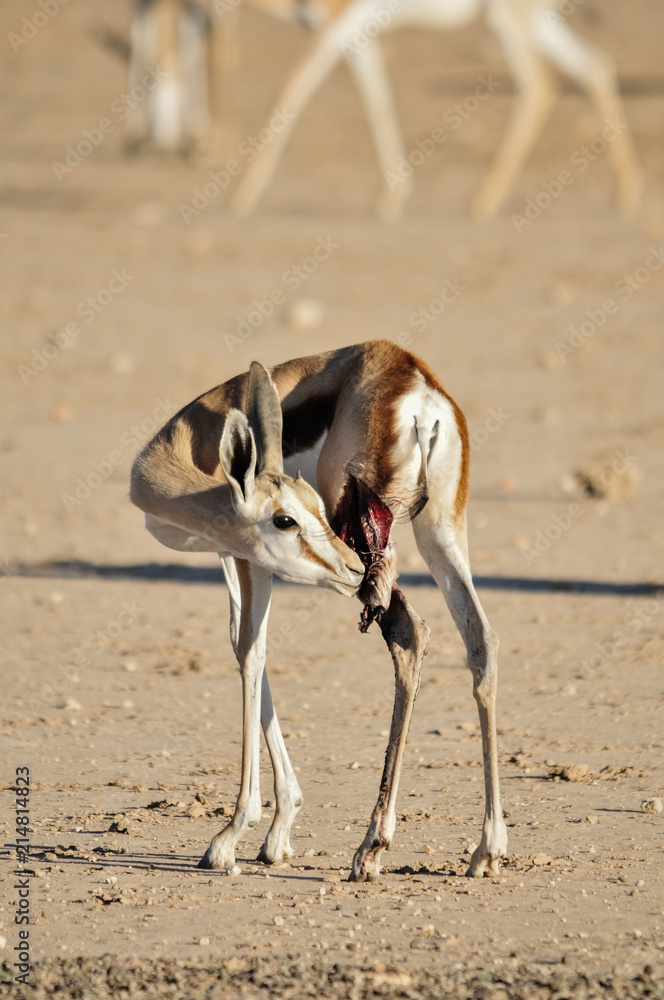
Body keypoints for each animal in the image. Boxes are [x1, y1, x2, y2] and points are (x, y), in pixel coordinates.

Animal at [131, 344, 508, 884]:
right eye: (290, 514)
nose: (348, 566)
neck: (187, 443)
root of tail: (413, 378)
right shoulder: (226, 555)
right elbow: (243, 646)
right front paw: (278, 834)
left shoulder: (250, 558)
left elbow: (251, 654)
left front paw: (231, 836)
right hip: (440, 532)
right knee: (481, 641)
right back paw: (487, 850)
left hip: (375, 552)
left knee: (409, 633)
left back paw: (371, 849)